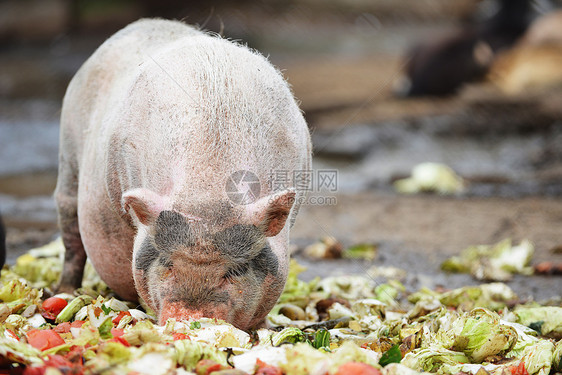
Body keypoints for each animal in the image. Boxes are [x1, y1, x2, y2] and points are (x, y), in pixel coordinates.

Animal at [55, 19, 310, 330]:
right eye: (167, 263)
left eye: (236, 270)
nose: (189, 319)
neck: (208, 185)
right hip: (68, 161)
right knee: (71, 234)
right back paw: (65, 293)